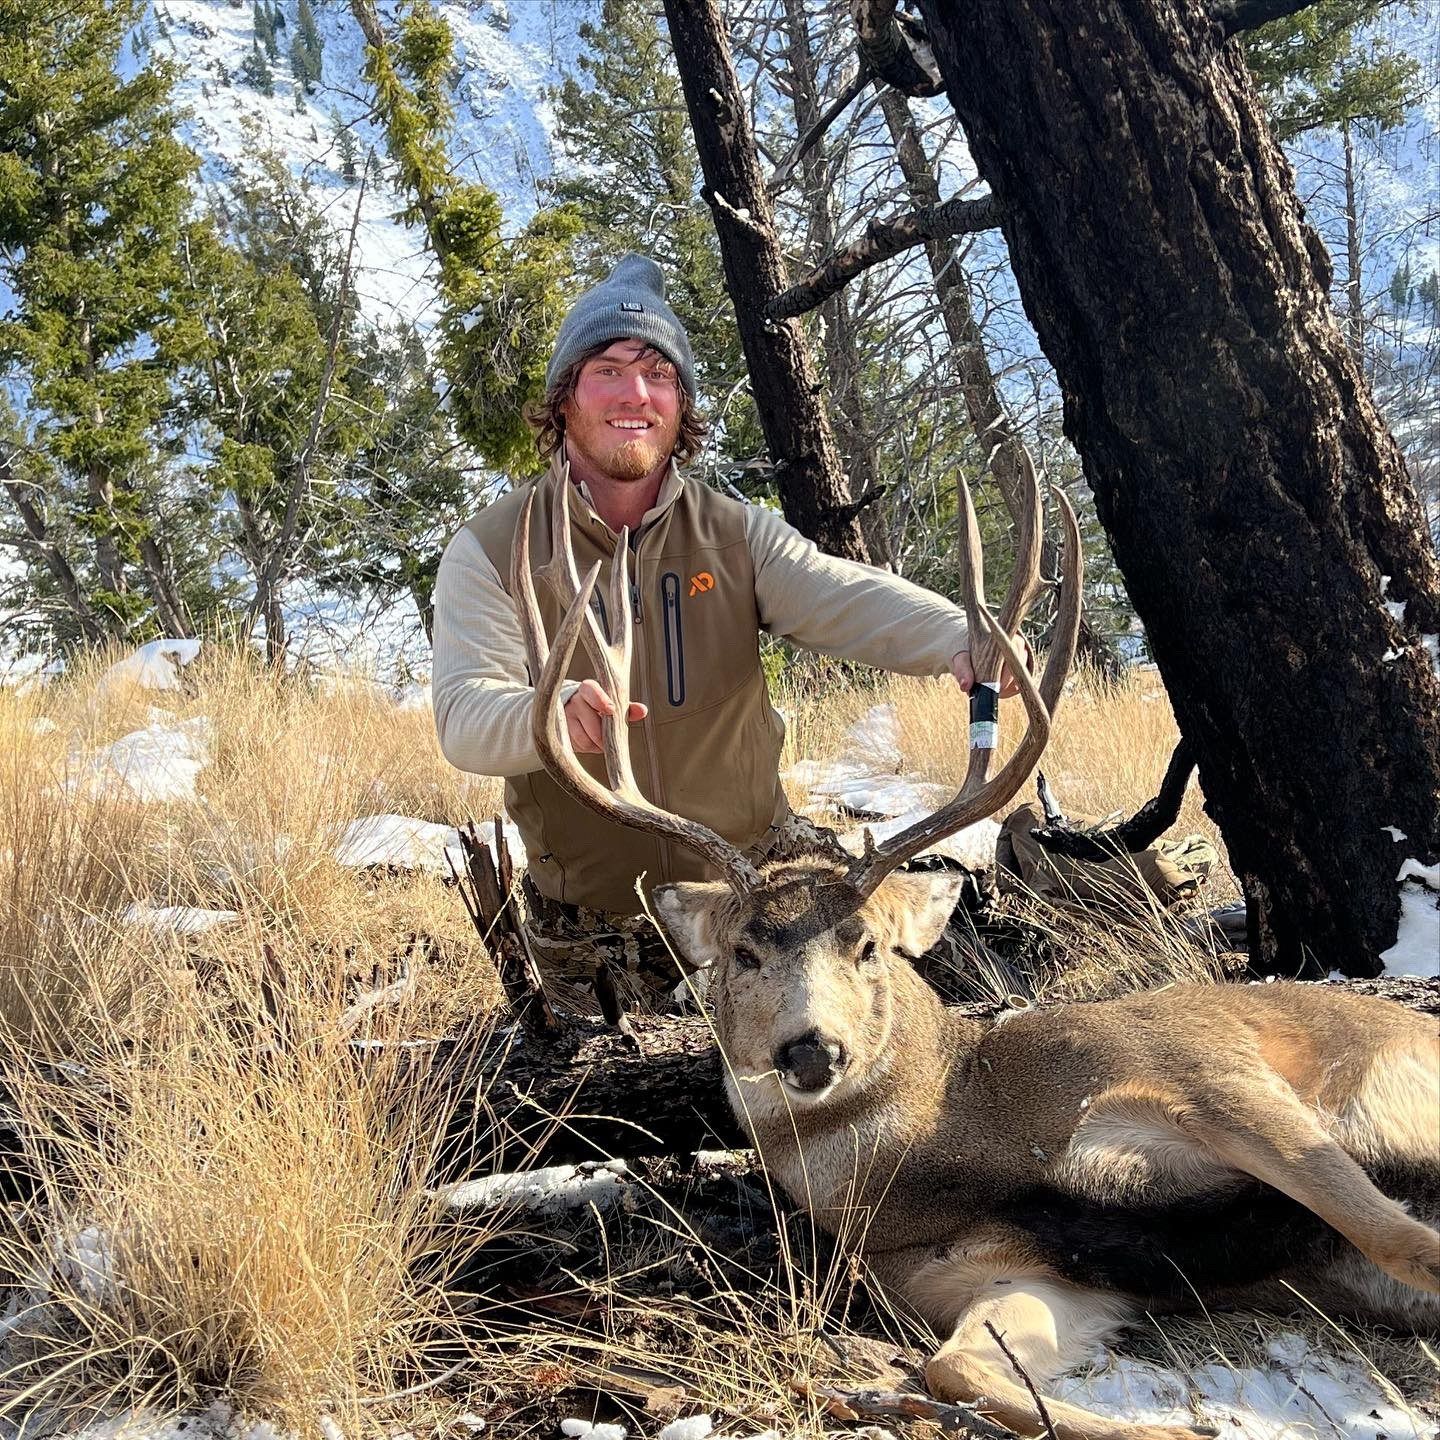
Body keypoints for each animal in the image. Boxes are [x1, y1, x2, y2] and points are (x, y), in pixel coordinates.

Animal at [508, 464, 1440, 1440]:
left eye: (868, 945)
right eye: (742, 952)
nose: (811, 1048)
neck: (949, 1140)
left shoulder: (1197, 1069)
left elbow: (1402, 1238)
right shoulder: (1008, 1276)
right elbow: (958, 1370)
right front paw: (1171, 1427)